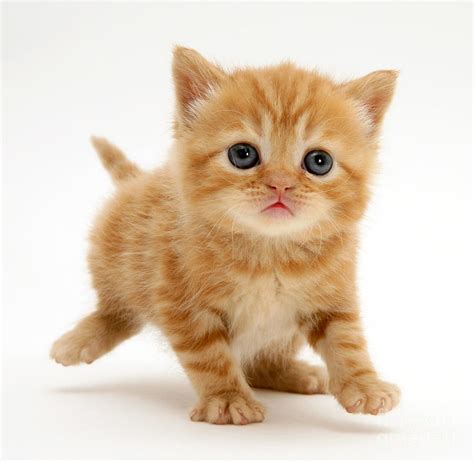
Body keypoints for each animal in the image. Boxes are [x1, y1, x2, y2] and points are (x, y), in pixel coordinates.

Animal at [51, 47, 400, 426]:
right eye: (243, 154)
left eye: (319, 161)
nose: (280, 184)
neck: (269, 252)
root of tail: (136, 181)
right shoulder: (181, 302)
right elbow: (209, 357)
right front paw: (229, 398)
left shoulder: (333, 298)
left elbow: (347, 342)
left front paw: (364, 385)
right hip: (119, 262)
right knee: (117, 309)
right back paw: (78, 342)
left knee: (261, 362)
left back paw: (296, 373)